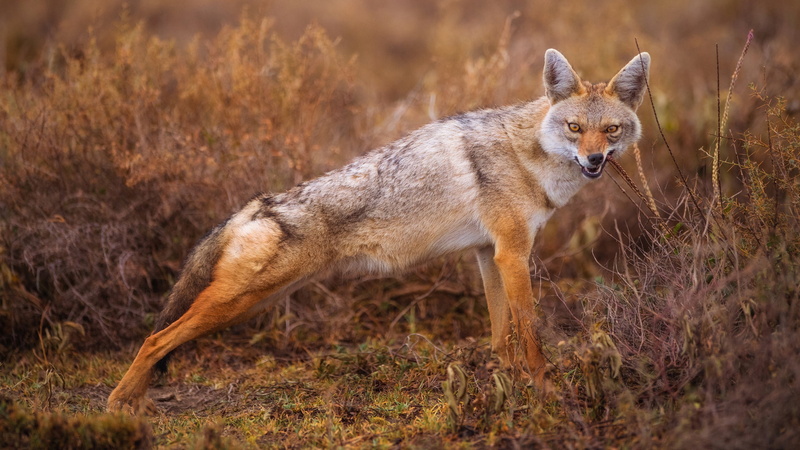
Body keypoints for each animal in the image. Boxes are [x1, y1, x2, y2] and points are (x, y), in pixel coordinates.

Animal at [108, 48, 650, 413]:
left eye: (611, 130)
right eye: (575, 128)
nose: (595, 160)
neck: (528, 155)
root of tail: (257, 204)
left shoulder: (489, 255)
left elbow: (503, 339)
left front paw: (510, 388)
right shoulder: (513, 255)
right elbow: (533, 338)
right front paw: (546, 395)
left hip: (255, 302)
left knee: (161, 338)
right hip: (238, 303)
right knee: (155, 339)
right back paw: (120, 405)